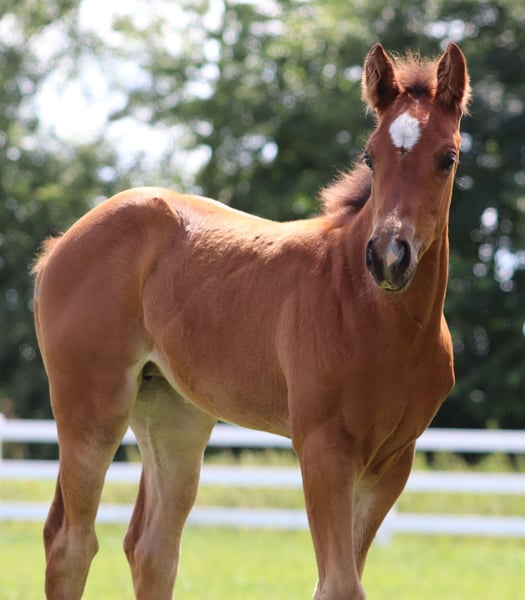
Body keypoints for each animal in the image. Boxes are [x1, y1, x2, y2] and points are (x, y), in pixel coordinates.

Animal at [32, 42, 470, 599]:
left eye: (447, 158)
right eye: (371, 156)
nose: (389, 258)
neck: (380, 318)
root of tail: (60, 244)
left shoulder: (393, 460)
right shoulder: (323, 448)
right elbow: (339, 584)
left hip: (172, 410)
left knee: (152, 547)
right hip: (92, 404)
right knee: (71, 542)